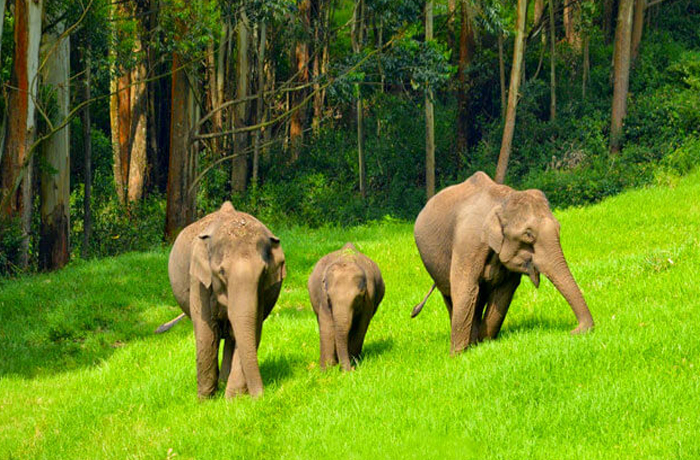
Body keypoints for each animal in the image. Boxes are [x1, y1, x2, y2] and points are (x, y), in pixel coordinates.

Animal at [158, 202, 286, 399]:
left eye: (264, 272)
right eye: (222, 272)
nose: (261, 397)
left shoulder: (262, 292)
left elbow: (252, 328)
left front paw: (233, 399)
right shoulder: (199, 281)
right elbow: (206, 332)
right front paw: (205, 400)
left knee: (233, 337)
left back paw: (225, 381)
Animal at [308, 243, 385, 371]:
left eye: (357, 298)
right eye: (329, 298)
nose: (349, 370)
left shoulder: (369, 297)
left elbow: (360, 326)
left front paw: (353, 362)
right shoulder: (323, 298)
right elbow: (327, 325)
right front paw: (326, 369)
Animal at [412, 171, 594, 354]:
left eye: (559, 227)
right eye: (528, 234)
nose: (573, 331)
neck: (502, 200)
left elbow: (504, 291)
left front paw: (484, 343)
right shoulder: (467, 243)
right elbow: (465, 288)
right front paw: (458, 355)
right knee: (451, 295)